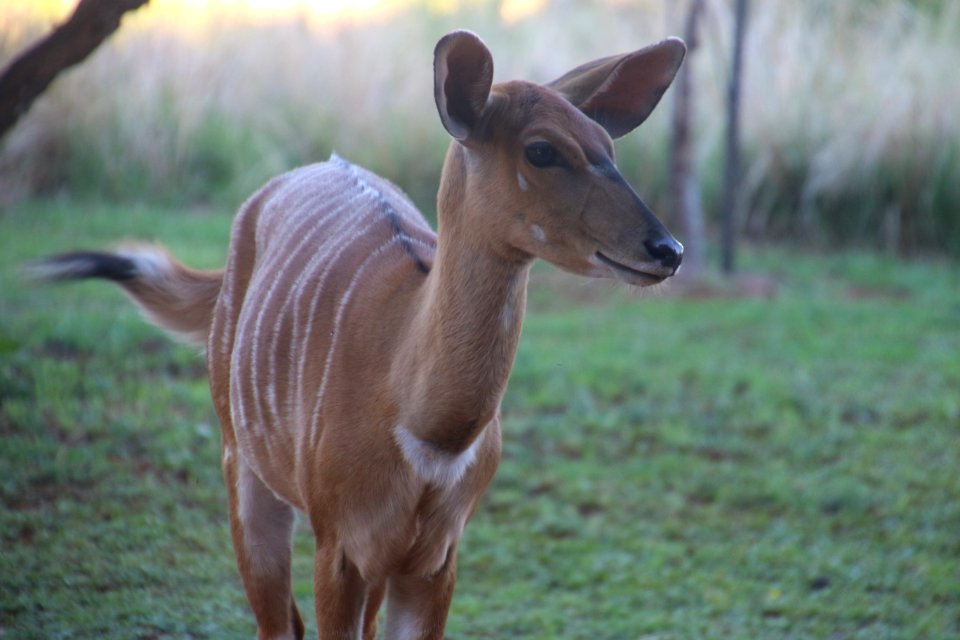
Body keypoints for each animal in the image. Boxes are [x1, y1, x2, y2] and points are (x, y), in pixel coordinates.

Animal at [33, 28, 688, 640]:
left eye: (609, 147)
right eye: (542, 150)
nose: (668, 249)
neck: (428, 430)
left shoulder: (432, 559)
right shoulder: (339, 548)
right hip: (242, 467)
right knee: (276, 621)